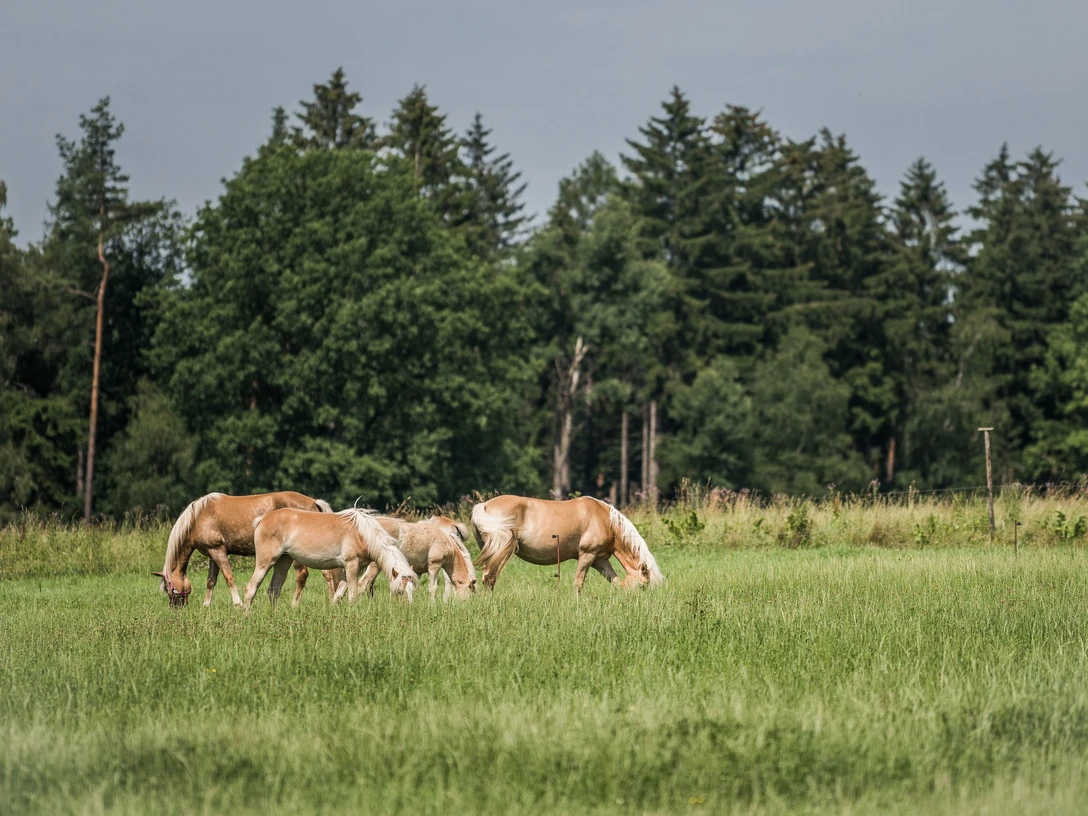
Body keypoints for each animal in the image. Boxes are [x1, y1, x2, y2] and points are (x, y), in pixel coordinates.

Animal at [154, 491, 340, 608]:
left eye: (168, 588)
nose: (176, 607)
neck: (199, 517)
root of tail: (313, 502)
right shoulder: (212, 554)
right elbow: (211, 581)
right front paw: (206, 606)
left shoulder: (218, 551)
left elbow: (229, 577)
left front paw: (238, 604)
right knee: (327, 574)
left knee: (302, 576)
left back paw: (295, 606)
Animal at [244, 508, 417, 609]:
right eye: (400, 591)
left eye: (412, 590)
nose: (407, 609)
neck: (362, 534)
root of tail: (263, 519)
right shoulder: (351, 566)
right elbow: (352, 595)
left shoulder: (351, 569)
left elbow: (339, 593)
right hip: (265, 562)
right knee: (251, 588)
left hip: (283, 562)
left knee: (274, 591)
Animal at [471, 495, 664, 592]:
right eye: (643, 585)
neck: (604, 519)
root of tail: (484, 505)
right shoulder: (587, 555)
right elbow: (578, 583)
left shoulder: (600, 560)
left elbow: (615, 581)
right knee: (489, 578)